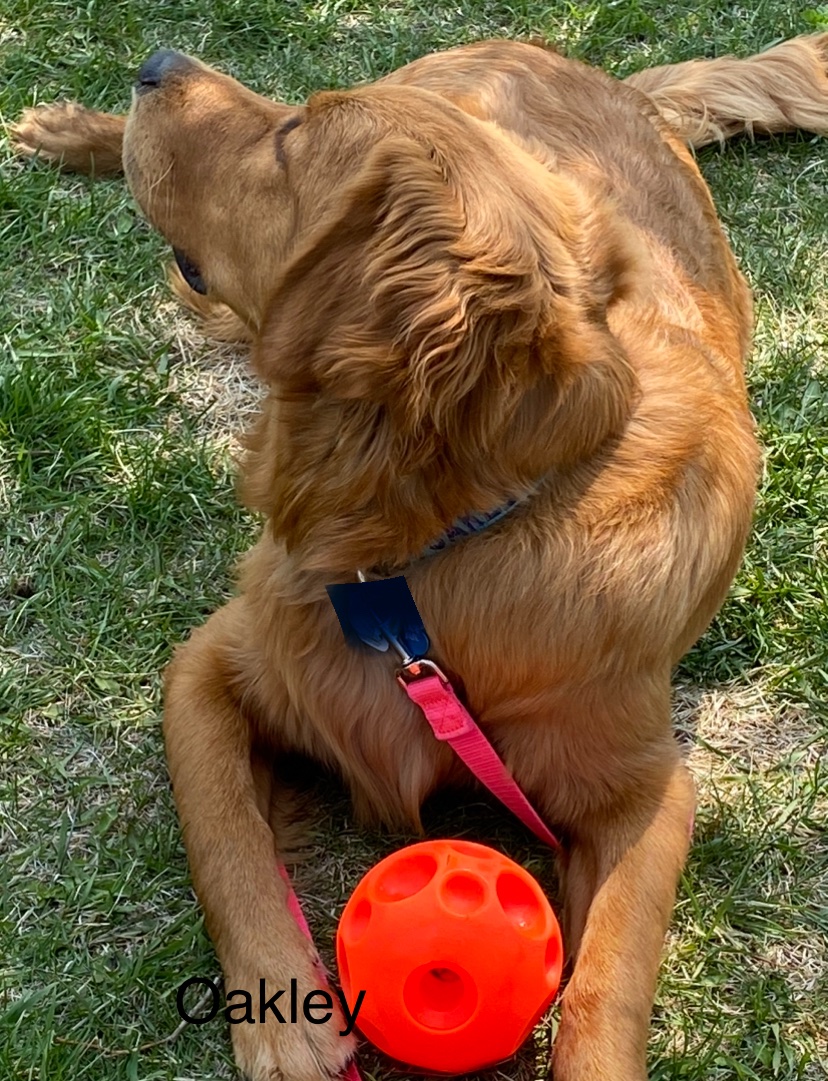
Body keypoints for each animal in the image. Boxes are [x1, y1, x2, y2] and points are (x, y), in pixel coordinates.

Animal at [11, 31, 828, 1081]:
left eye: (291, 137)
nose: (157, 57)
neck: (428, 549)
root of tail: (577, 67)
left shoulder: (646, 790)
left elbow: (608, 980)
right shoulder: (211, 667)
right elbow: (226, 839)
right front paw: (286, 1026)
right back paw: (72, 130)